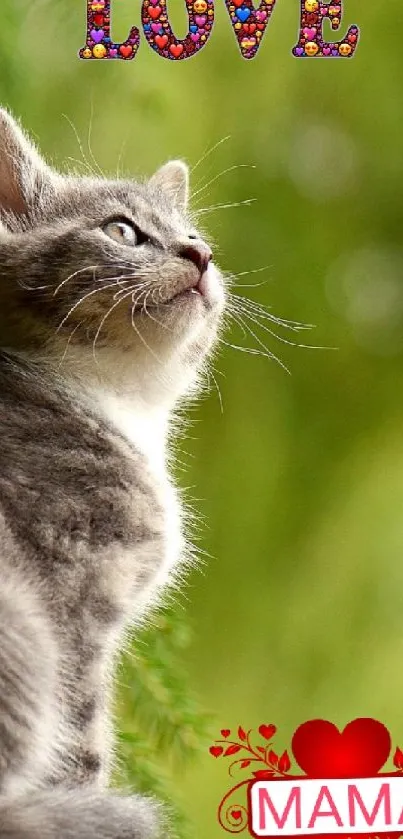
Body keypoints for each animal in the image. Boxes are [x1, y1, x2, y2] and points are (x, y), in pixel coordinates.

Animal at [0, 110, 226, 839]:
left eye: (195, 236)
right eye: (122, 230)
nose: (198, 256)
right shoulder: (71, 602)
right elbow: (80, 737)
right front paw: (84, 798)